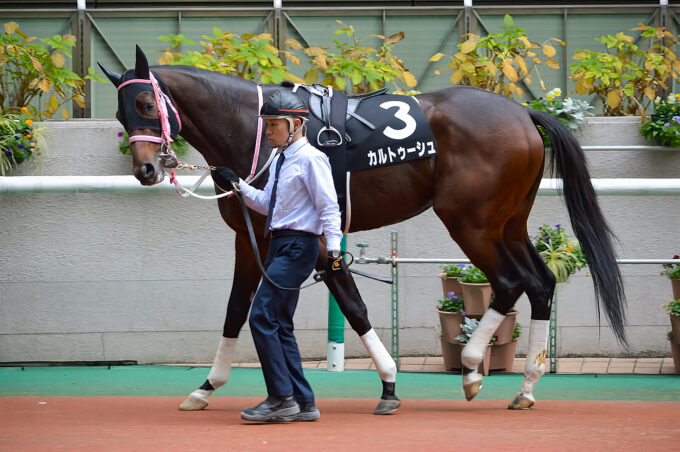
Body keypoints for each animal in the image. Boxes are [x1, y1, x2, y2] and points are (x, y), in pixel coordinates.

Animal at [98, 46, 624, 414]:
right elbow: (235, 311)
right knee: (541, 281)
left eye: (147, 102)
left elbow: (351, 307)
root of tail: (522, 112)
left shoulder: (309, 240)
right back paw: (526, 387)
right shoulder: (251, 239)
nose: (145, 170)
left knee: (512, 281)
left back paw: (474, 369)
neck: (256, 130)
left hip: (471, 222)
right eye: (122, 113)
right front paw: (206, 387)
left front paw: (389, 383)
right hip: (508, 222)